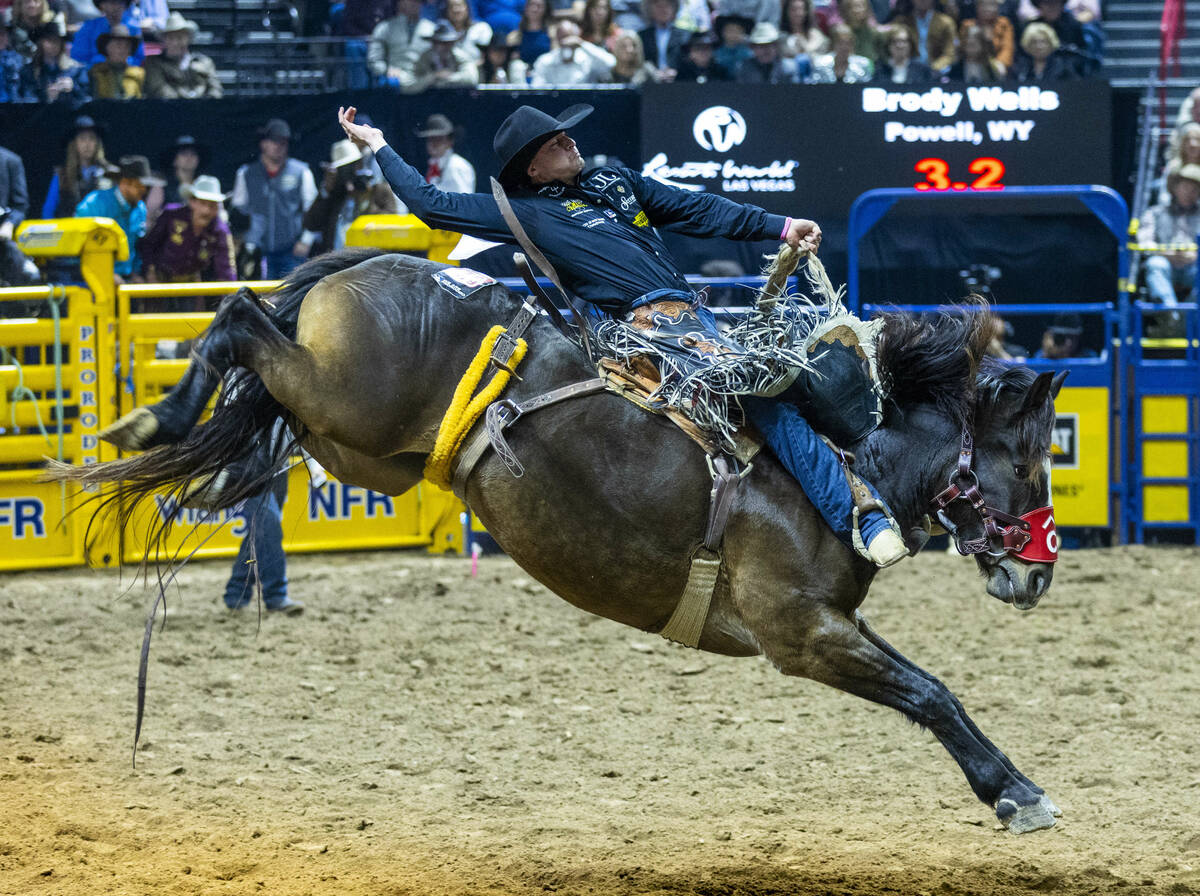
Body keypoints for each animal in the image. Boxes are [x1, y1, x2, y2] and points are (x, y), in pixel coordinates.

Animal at [54, 247, 1070, 834]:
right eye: (1029, 461)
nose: (1037, 575)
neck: (846, 456)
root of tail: (377, 262)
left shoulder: (829, 624)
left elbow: (927, 686)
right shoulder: (801, 631)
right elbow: (931, 691)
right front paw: (1017, 793)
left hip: (356, 445)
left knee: (254, 351)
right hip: (343, 395)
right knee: (235, 315)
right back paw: (149, 418)